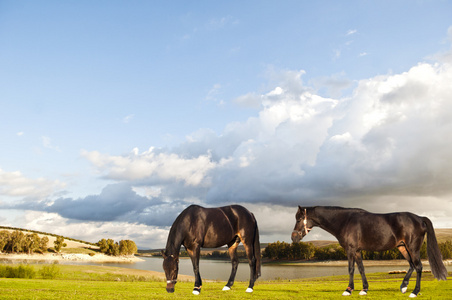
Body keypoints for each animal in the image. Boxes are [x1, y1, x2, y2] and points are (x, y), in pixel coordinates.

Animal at [292, 206, 446, 298]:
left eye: (299, 219)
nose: (293, 237)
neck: (345, 221)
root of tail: (420, 218)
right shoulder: (357, 251)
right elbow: (361, 269)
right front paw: (364, 289)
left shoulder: (350, 249)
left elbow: (351, 269)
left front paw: (348, 289)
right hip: (403, 247)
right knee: (412, 266)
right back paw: (403, 286)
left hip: (413, 248)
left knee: (418, 267)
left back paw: (414, 292)